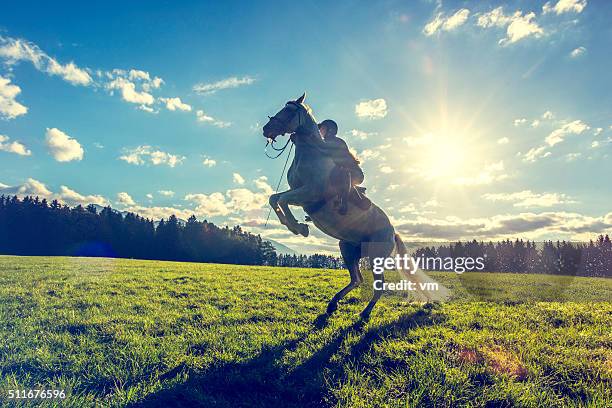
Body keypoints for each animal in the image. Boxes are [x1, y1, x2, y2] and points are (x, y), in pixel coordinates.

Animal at [262, 93, 444, 318]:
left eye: (289, 110)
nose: (266, 129)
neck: (313, 153)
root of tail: (393, 232)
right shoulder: (299, 193)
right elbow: (275, 198)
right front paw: (297, 226)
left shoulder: (310, 193)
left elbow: (281, 200)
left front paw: (299, 228)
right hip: (348, 249)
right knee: (357, 279)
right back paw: (333, 304)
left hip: (375, 256)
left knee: (378, 285)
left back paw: (364, 314)